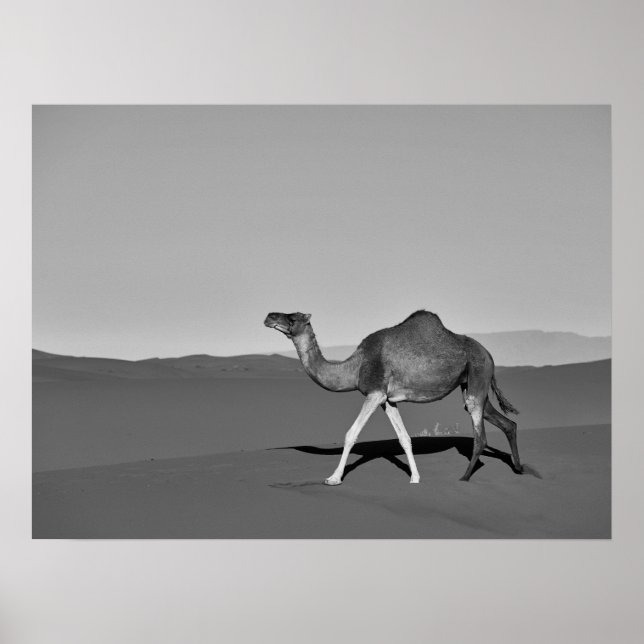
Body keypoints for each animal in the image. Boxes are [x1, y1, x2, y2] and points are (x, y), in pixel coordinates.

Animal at [263, 310, 523, 485]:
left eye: (293, 318)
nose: (269, 316)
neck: (355, 366)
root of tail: (488, 354)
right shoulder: (387, 400)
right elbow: (404, 438)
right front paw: (415, 478)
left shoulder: (375, 392)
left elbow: (351, 434)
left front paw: (333, 478)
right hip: (472, 383)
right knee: (507, 423)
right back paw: (519, 468)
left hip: (478, 374)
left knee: (480, 436)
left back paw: (465, 477)